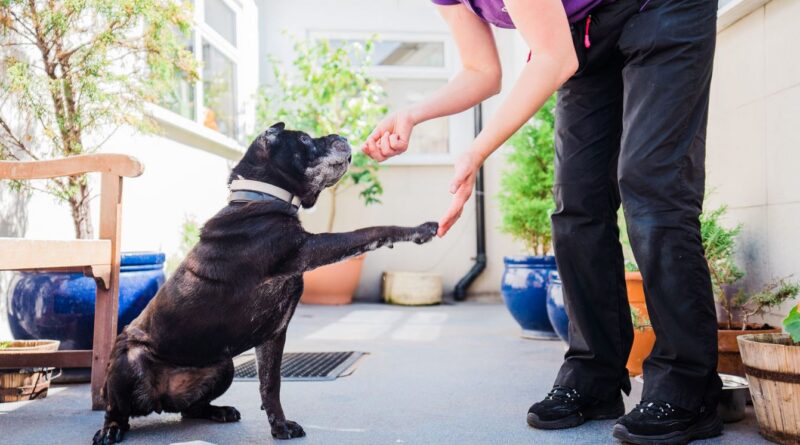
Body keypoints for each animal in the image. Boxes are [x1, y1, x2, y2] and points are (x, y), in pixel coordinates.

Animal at [93, 121, 438, 444]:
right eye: (304, 139)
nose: (340, 135)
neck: (261, 197)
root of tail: (160, 401)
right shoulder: (307, 248)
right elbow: (369, 232)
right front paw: (419, 229)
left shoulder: (272, 335)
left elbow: (270, 385)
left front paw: (279, 426)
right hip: (129, 362)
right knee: (115, 408)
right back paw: (111, 429)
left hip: (224, 366)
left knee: (190, 409)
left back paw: (219, 411)